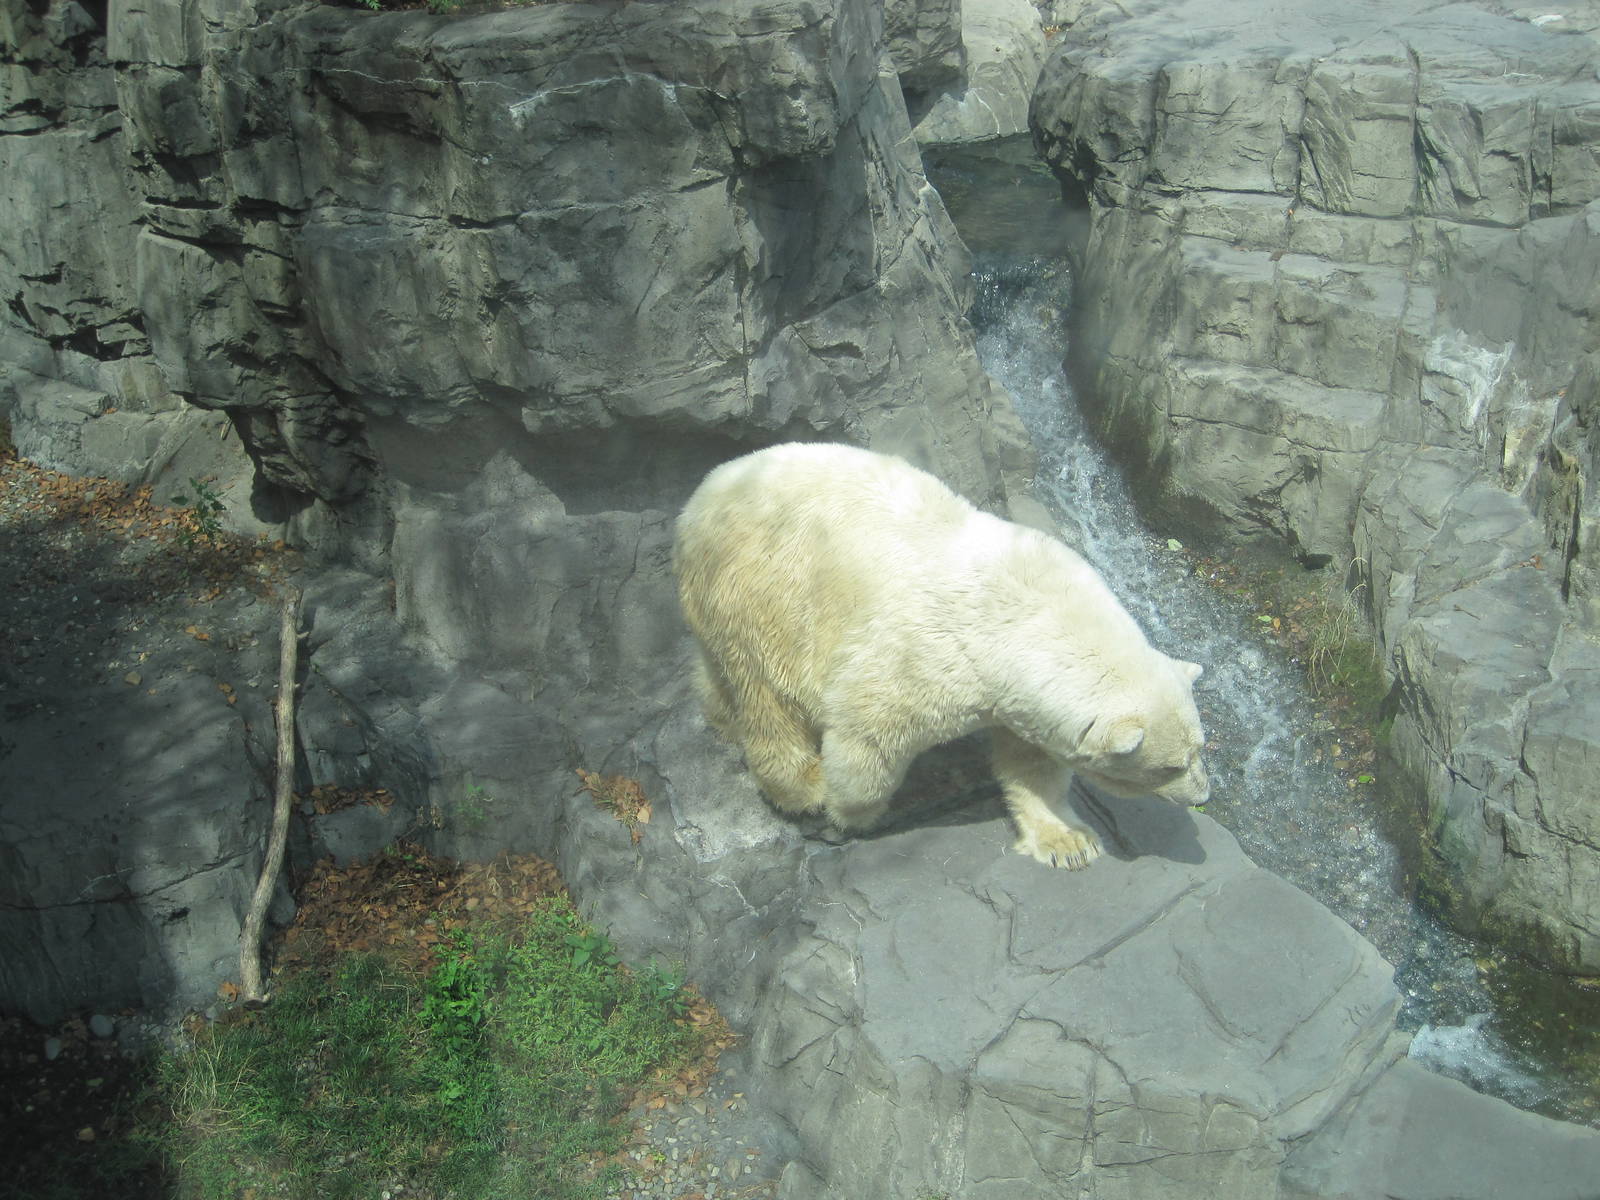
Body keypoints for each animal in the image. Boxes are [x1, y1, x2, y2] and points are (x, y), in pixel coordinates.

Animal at [672, 442, 1209, 868]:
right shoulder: (924, 655)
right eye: (1171, 766)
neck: (1029, 616)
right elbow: (867, 733)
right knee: (768, 694)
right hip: (765, 593)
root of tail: (699, 499)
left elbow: (1034, 762)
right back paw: (803, 785)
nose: (1202, 793)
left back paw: (722, 718)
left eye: (1199, 748)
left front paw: (1068, 842)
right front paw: (850, 812)